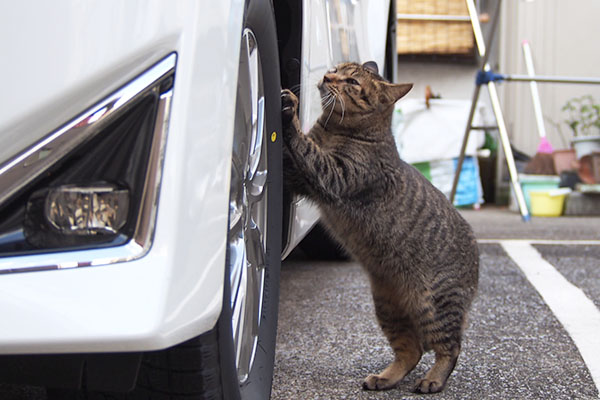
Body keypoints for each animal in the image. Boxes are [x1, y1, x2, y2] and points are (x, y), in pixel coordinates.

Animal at [280, 62, 478, 394]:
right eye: (336, 69)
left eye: (351, 81)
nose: (327, 76)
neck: (336, 131)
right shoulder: (302, 179)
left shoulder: (334, 175)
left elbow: (306, 148)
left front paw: (290, 111)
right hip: (388, 306)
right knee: (411, 350)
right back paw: (386, 377)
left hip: (435, 305)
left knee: (449, 349)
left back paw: (433, 379)